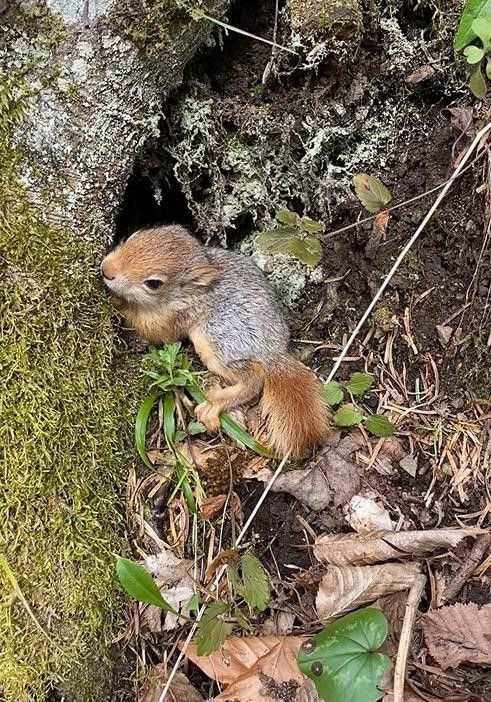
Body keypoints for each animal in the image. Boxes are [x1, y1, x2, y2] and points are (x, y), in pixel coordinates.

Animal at [102, 224, 328, 456]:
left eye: (154, 283)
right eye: (134, 235)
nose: (106, 270)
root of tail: (275, 352)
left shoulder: (176, 317)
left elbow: (152, 330)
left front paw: (117, 304)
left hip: (219, 338)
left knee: (254, 378)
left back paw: (214, 404)